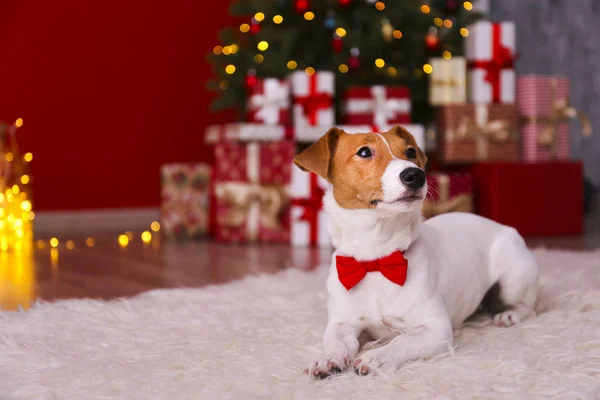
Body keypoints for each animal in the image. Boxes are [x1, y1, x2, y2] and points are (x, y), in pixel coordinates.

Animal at [292, 125, 540, 378]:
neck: (376, 258)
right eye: (364, 152)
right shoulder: (342, 324)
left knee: (528, 307)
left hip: (513, 281)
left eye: (410, 151)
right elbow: (336, 342)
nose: (416, 175)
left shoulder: (436, 328)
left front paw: (377, 357)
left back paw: (509, 315)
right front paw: (328, 359)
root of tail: (503, 226)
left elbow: (402, 341)